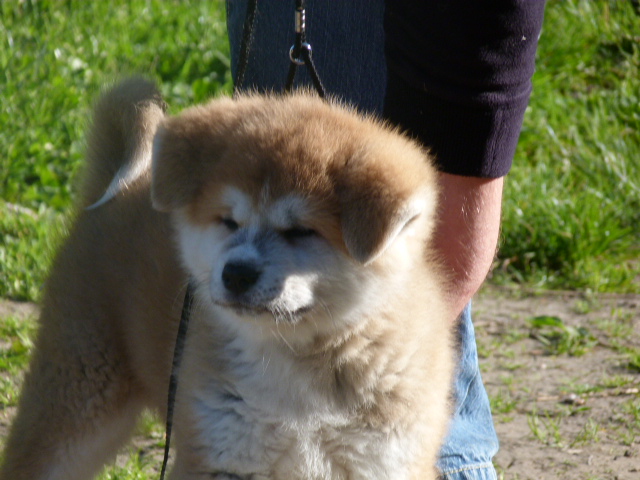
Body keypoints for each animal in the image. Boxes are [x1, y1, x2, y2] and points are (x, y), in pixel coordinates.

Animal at [1, 79, 454, 480]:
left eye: (300, 231)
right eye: (228, 221)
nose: (235, 273)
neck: (299, 364)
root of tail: (119, 187)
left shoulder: (384, 459)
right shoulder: (222, 450)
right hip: (76, 394)